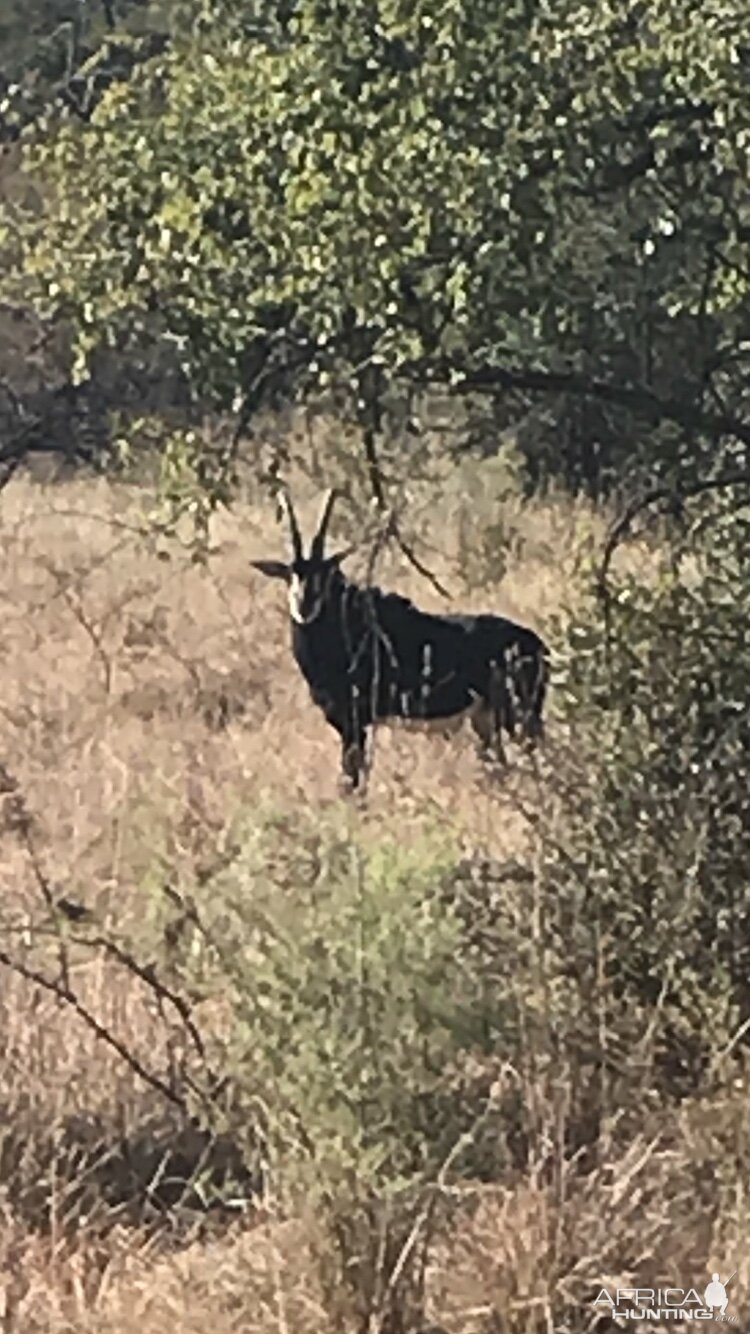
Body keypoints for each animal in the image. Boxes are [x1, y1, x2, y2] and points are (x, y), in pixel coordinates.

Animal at [248, 490, 547, 784]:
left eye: (326, 573)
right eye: (290, 574)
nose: (304, 604)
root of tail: (538, 646)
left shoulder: (355, 722)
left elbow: (352, 779)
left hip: (519, 717)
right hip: (486, 720)